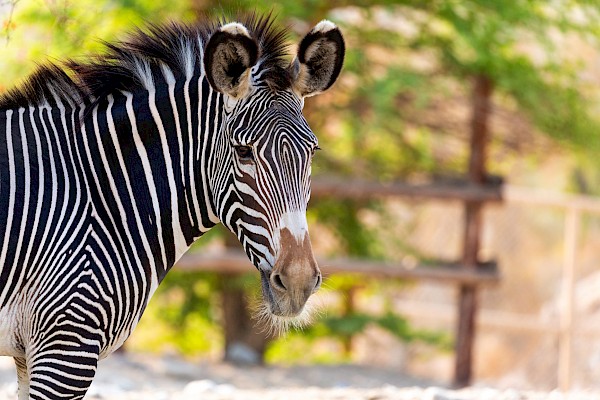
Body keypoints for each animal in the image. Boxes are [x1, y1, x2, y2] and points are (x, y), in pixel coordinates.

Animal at [0, 14, 344, 398]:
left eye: (312, 151)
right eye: (243, 152)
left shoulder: (31, 352)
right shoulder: (66, 343)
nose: (299, 283)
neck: (100, 192)